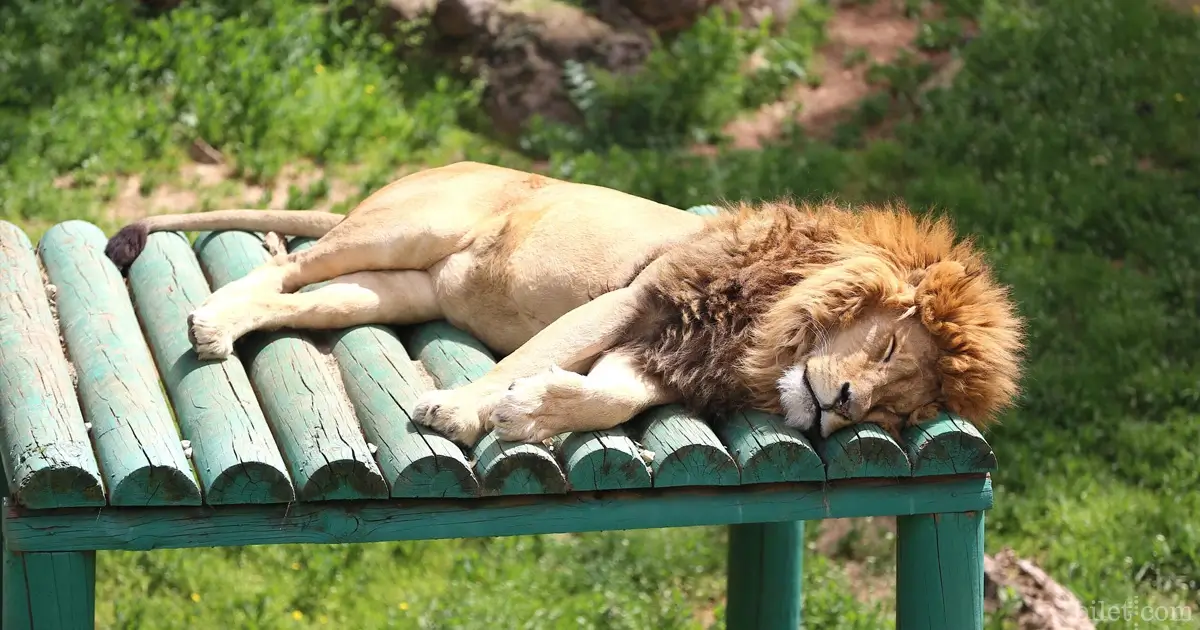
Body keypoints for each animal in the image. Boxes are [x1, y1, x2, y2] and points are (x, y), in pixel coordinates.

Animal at [103, 162, 1027, 446]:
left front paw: (532, 411)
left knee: (307, 297)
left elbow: (607, 396)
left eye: (899, 412)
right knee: (289, 266)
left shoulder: (667, 357)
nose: (842, 407)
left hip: (395, 288)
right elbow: (533, 352)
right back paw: (212, 318)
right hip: (406, 224)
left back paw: (227, 326)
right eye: (887, 350)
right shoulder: (638, 299)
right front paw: (462, 409)